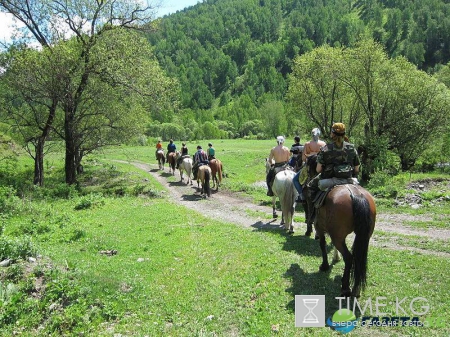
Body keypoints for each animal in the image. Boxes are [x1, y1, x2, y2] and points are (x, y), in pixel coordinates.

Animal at [306, 155, 376, 296]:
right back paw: (356, 289)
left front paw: (324, 266)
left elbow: (322, 245)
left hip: (337, 237)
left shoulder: (319, 228)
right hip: (364, 236)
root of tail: (356, 195)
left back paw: (345, 287)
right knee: (358, 258)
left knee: (349, 258)